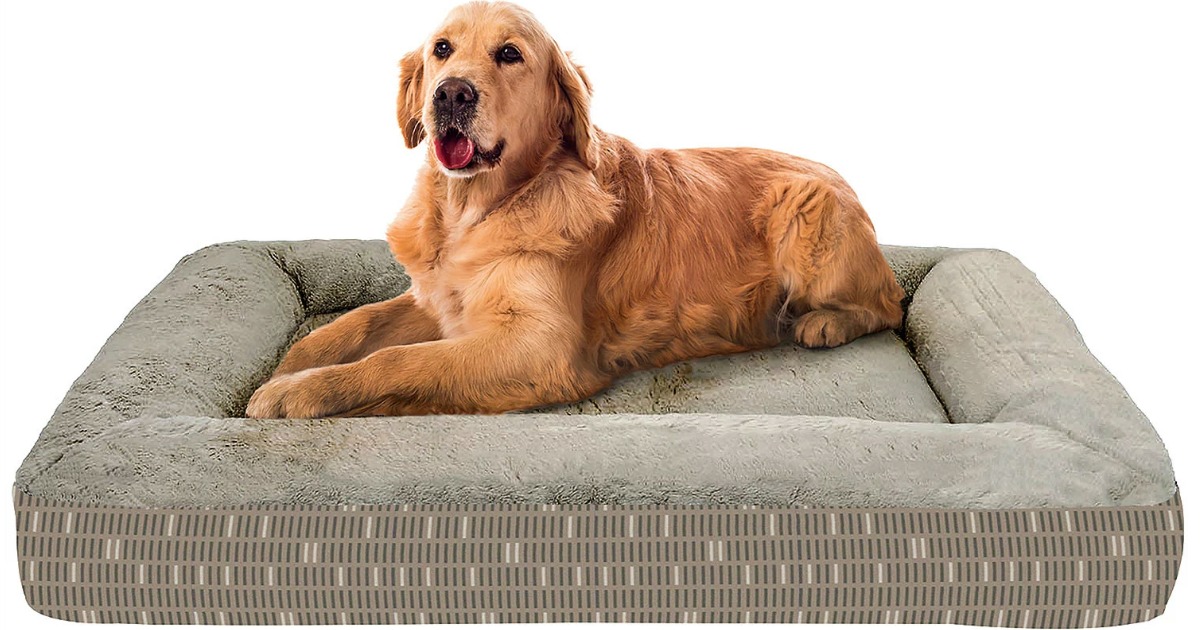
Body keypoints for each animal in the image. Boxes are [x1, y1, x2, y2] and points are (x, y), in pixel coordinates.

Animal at [246, 4, 902, 420]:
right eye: (442, 49)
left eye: (509, 54)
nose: (451, 93)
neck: (475, 211)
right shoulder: (440, 300)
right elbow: (356, 323)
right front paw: (290, 365)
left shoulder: (540, 346)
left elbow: (401, 361)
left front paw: (300, 392)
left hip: (807, 209)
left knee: (887, 305)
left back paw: (823, 323)